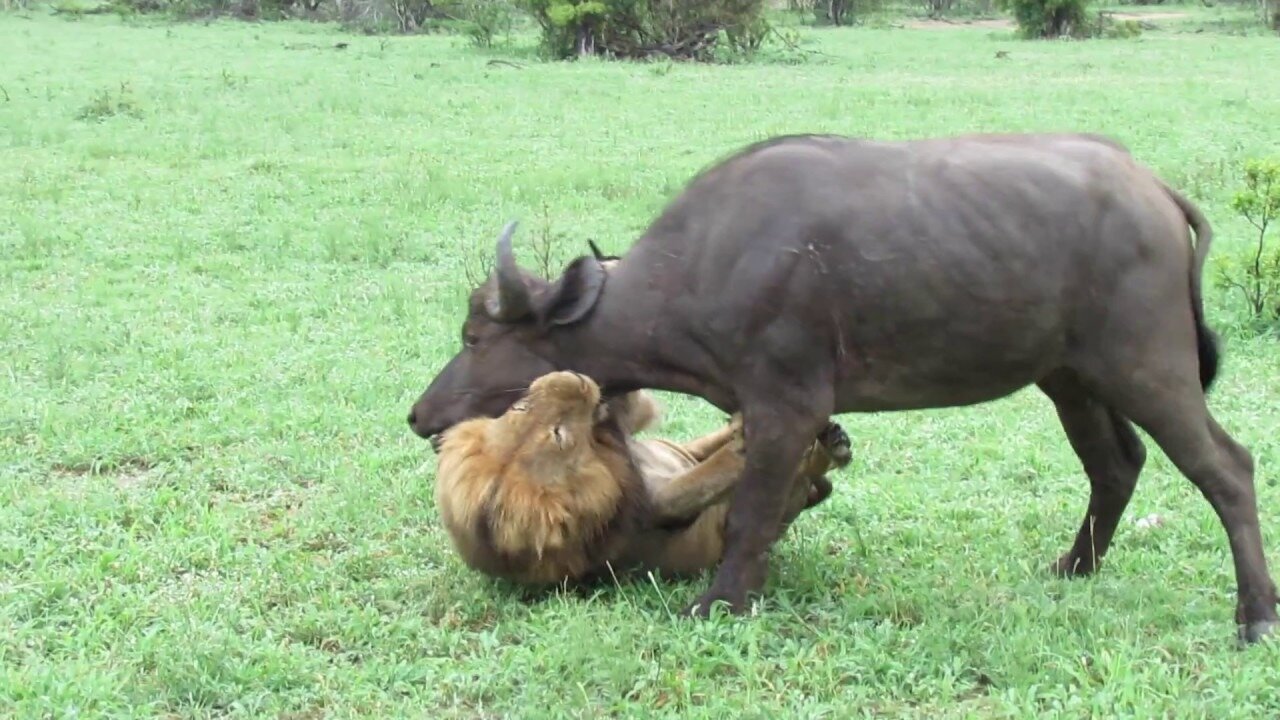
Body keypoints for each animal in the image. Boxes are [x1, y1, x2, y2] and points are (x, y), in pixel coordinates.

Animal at [432, 368, 849, 589]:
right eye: (558, 436)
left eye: (519, 407)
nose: (575, 376)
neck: (608, 454)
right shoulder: (660, 509)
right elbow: (705, 477)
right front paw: (745, 441)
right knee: (798, 484)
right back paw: (823, 450)